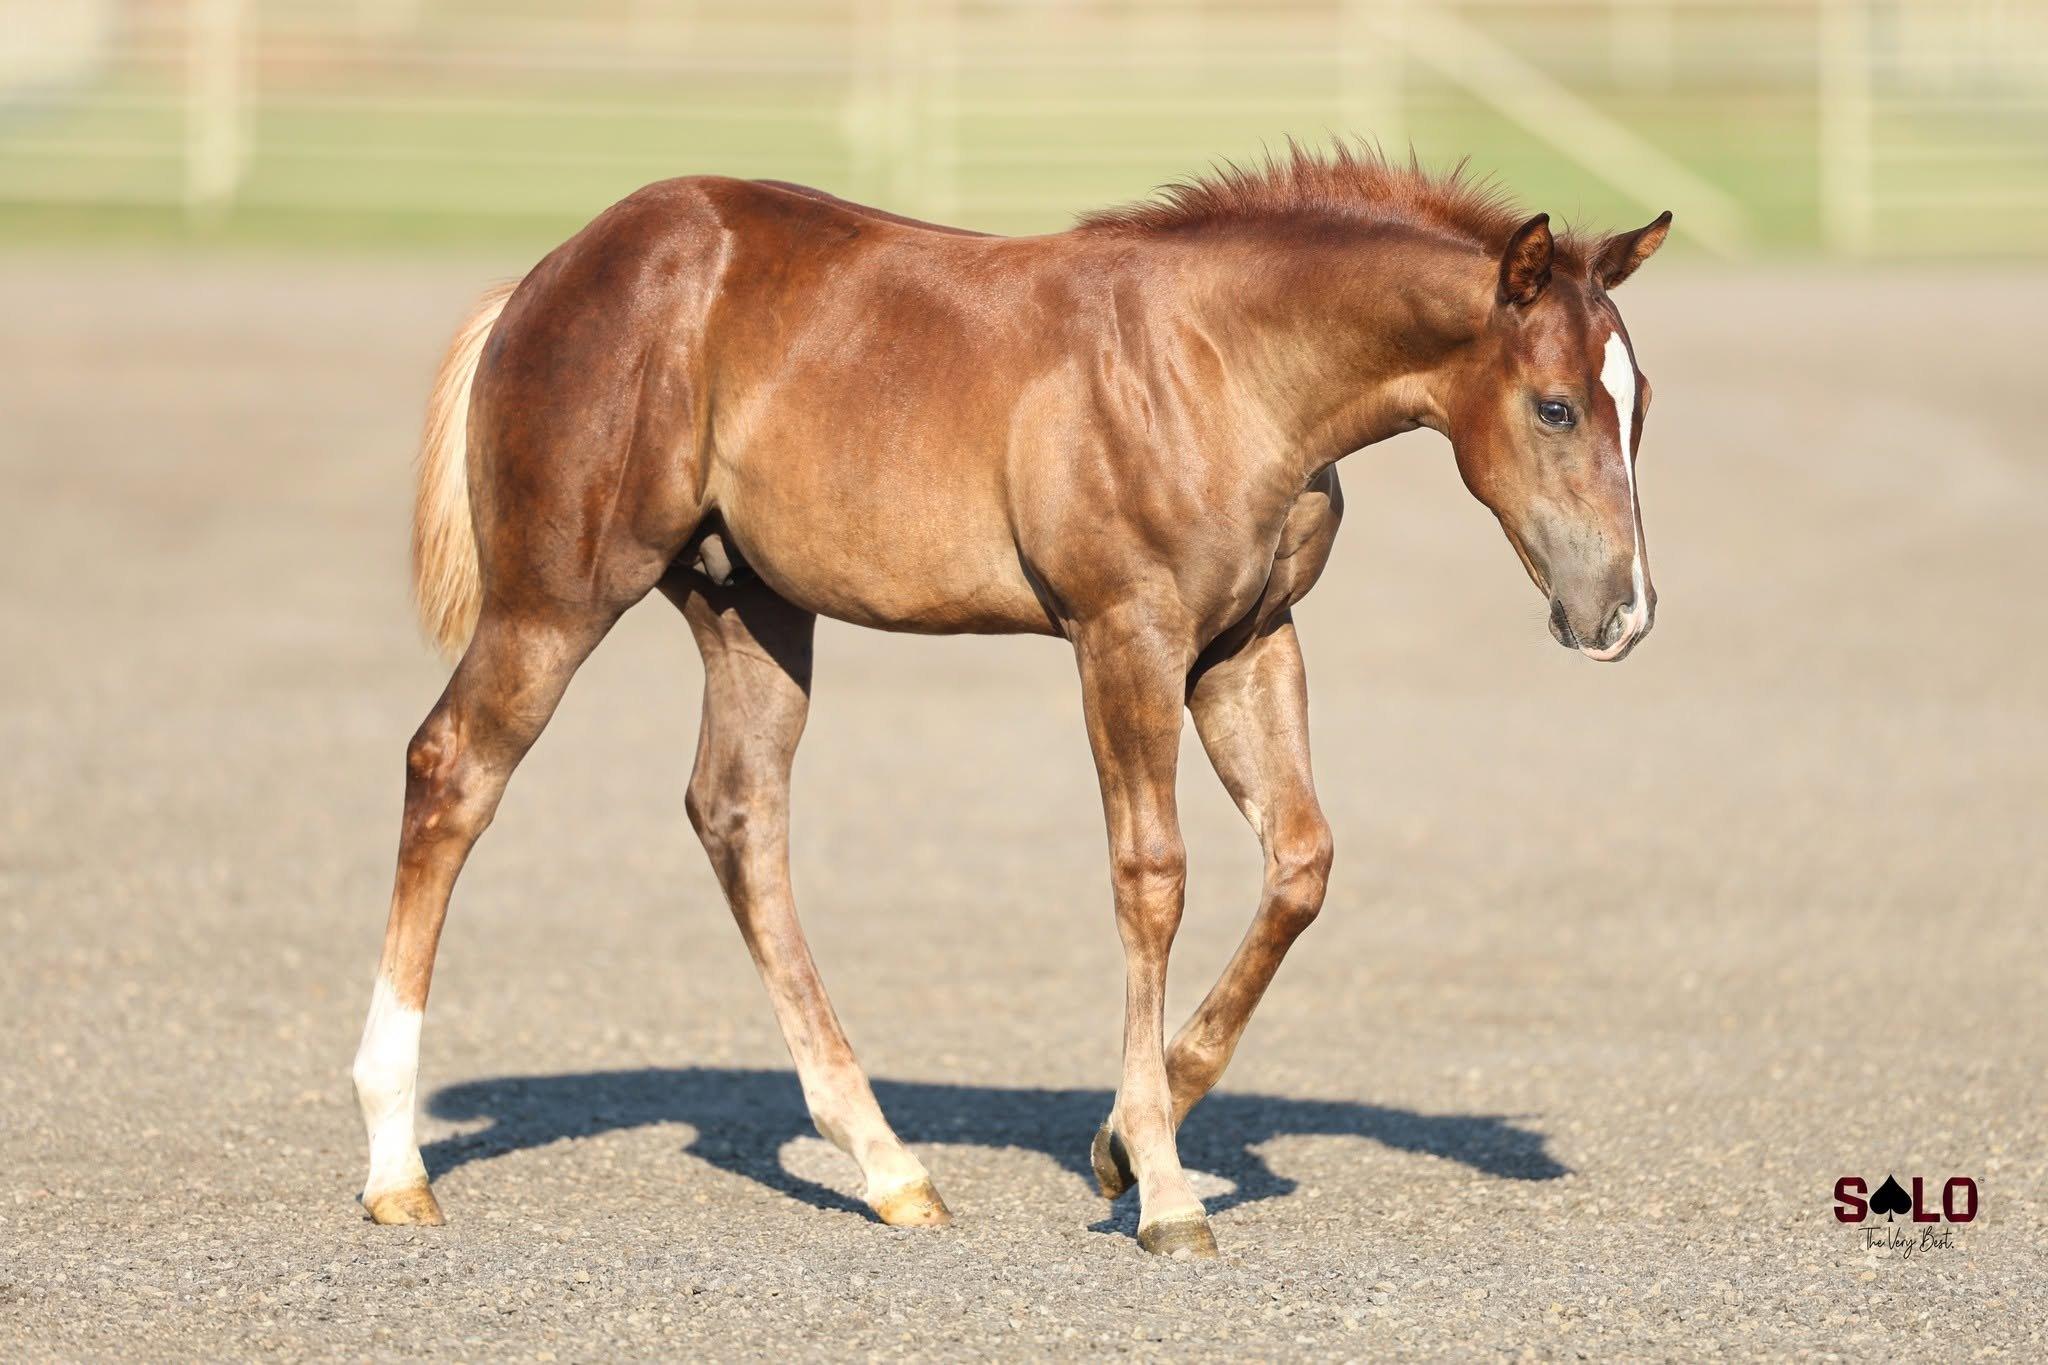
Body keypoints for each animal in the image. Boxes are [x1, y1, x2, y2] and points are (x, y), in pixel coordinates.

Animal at [352, 144, 1670, 1258]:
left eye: (1640, 403)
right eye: (1554, 404)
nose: (1620, 614)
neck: (1224, 365)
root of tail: (549, 274)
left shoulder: (1246, 644)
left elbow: (1300, 861)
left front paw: (1122, 1141)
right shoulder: (1124, 637)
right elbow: (1150, 877)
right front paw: (1165, 1190)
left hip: (748, 607)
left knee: (737, 815)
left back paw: (889, 1169)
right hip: (560, 595)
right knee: (452, 769)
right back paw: (394, 1165)